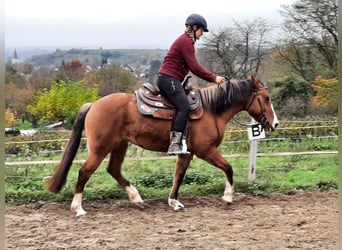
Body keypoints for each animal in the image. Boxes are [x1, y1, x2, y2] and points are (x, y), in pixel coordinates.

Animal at [47, 75, 278, 216]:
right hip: (100, 148)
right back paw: (78, 208)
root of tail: (94, 104)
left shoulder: (187, 153)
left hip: (120, 145)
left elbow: (178, 176)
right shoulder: (205, 150)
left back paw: (136, 197)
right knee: (84, 172)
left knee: (113, 169)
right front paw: (228, 196)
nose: (275, 123)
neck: (212, 110)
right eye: (266, 98)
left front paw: (174, 202)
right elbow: (228, 168)